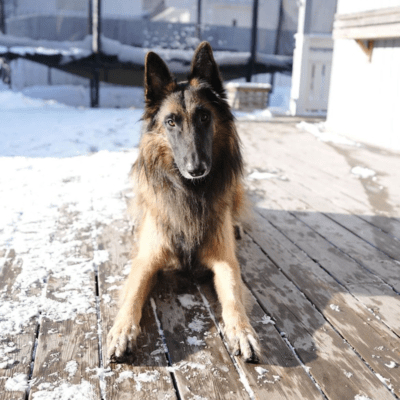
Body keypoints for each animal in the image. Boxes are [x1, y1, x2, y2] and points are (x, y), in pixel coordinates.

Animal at [108, 41, 260, 362]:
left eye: (204, 117)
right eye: (171, 122)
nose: (196, 168)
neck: (191, 193)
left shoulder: (225, 261)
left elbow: (233, 297)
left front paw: (243, 331)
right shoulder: (147, 259)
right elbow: (133, 294)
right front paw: (122, 330)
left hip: (236, 190)